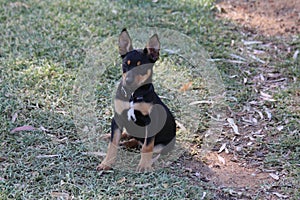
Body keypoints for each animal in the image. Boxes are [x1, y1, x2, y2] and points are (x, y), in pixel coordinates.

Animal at [96, 28, 176, 172]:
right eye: (125, 64)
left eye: (141, 67)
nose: (128, 81)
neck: (132, 95)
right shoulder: (118, 117)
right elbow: (113, 143)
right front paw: (107, 163)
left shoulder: (150, 122)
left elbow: (147, 146)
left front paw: (144, 166)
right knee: (127, 135)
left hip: (161, 146)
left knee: (141, 144)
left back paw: (127, 144)